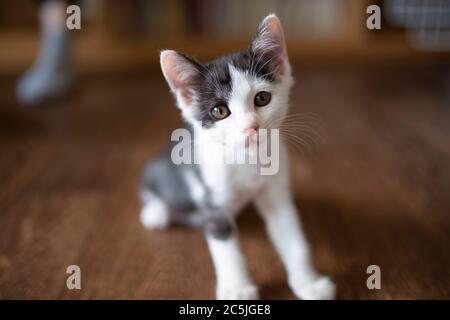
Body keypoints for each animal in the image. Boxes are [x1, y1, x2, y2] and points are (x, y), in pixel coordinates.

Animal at [140, 13, 334, 300]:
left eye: (262, 98)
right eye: (219, 111)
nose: (251, 127)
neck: (246, 162)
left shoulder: (276, 192)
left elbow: (293, 237)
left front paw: (308, 282)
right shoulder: (211, 199)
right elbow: (226, 249)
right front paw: (237, 289)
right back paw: (156, 212)